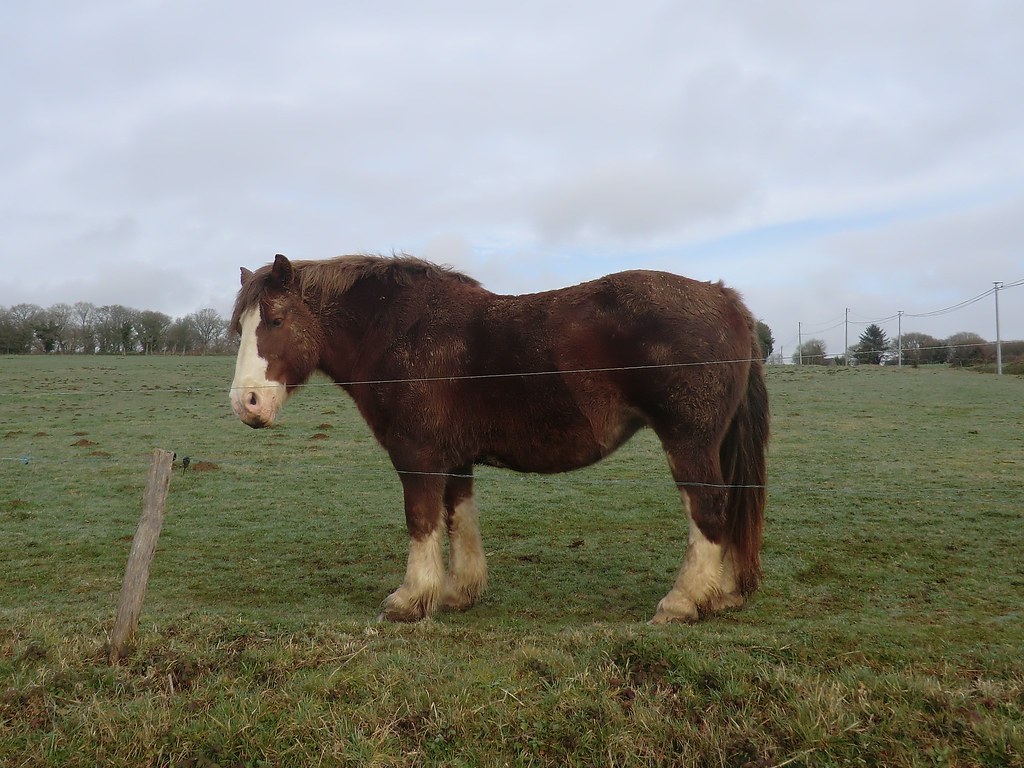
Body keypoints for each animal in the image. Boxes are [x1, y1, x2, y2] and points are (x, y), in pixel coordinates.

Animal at [229, 253, 769, 624]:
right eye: (239, 326)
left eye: (275, 320)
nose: (246, 403)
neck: (403, 335)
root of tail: (722, 297)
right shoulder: (454, 459)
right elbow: (457, 519)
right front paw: (457, 592)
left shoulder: (418, 456)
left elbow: (421, 521)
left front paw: (409, 600)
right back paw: (720, 595)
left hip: (689, 443)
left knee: (708, 510)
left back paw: (683, 601)